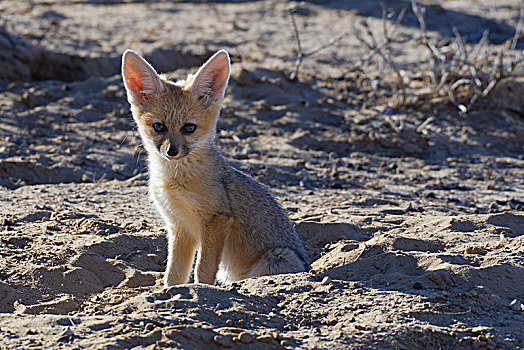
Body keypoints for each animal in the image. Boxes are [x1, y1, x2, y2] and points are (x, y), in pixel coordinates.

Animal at [122, 49, 312, 286]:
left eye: (189, 128)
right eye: (158, 126)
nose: (172, 151)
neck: (173, 180)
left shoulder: (216, 219)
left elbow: (202, 270)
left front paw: (202, 288)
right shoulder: (179, 227)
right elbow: (174, 274)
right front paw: (169, 291)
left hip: (277, 258)